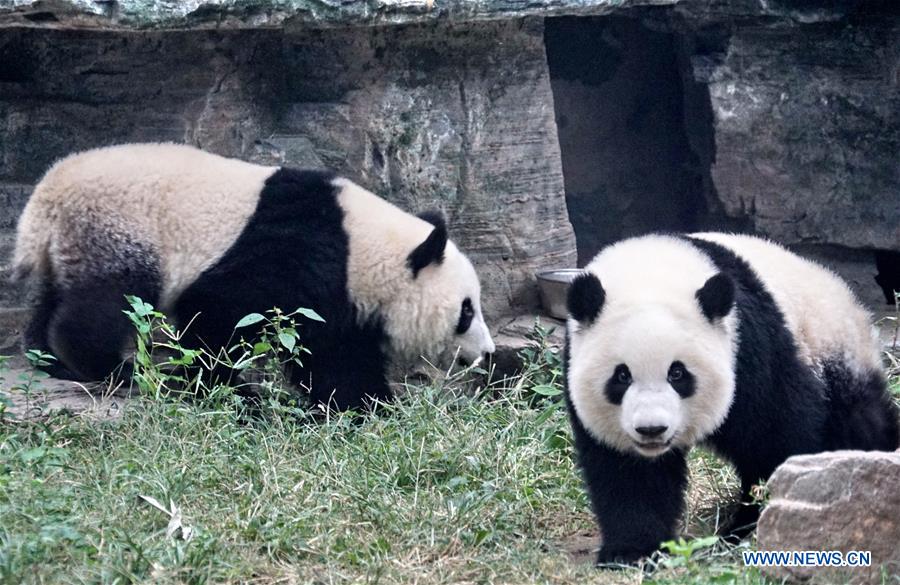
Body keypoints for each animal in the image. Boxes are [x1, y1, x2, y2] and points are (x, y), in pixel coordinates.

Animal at [10, 143, 496, 410]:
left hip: (73, 243)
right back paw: (107, 367)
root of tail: (45, 198)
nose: (489, 353)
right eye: (466, 312)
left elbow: (336, 353)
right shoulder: (298, 252)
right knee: (109, 301)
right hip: (120, 229)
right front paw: (231, 392)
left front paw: (366, 404)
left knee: (54, 297)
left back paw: (47, 358)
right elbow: (215, 313)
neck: (364, 248)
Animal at [568, 233, 896, 564]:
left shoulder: (752, 349)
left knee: (859, 425)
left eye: (678, 374)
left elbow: (776, 438)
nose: (652, 430)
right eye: (622, 376)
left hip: (834, 357)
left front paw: (760, 522)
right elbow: (630, 475)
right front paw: (633, 552)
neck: (651, 271)